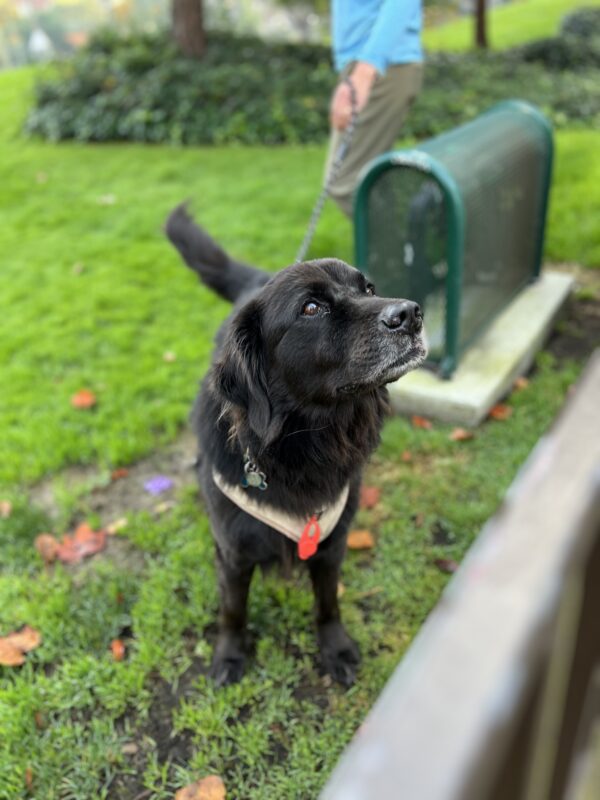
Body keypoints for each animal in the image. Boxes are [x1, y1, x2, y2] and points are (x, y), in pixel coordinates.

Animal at [165, 206, 426, 688]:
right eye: (311, 308)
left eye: (369, 289)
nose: (411, 313)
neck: (306, 442)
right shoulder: (233, 550)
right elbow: (233, 611)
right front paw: (229, 656)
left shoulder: (331, 541)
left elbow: (328, 602)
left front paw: (335, 648)